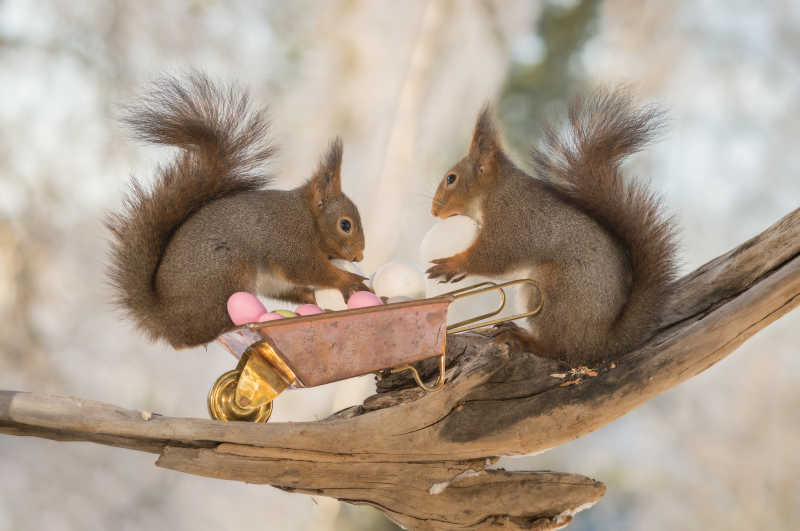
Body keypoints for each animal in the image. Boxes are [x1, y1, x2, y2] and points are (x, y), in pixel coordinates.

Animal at [107, 76, 368, 350]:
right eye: (345, 225)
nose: (359, 256)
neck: (308, 219)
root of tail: (165, 319)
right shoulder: (290, 243)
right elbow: (310, 269)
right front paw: (347, 280)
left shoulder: (280, 278)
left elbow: (302, 287)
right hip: (225, 274)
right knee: (200, 335)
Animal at [428, 90, 680, 366]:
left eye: (451, 179)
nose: (433, 212)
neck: (495, 191)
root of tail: (600, 343)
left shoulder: (512, 220)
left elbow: (494, 255)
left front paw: (451, 264)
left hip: (549, 288)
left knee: (557, 348)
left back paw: (526, 338)